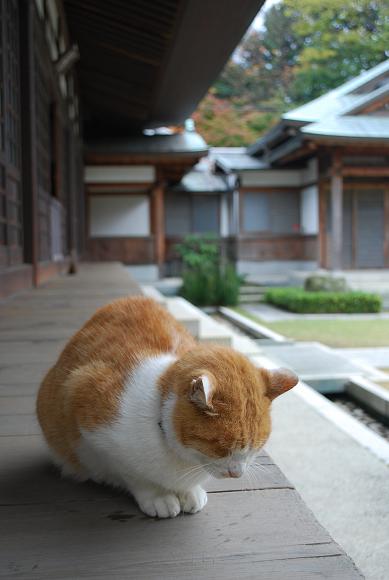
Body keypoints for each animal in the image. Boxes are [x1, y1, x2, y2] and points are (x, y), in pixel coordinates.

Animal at [37, 296, 298, 520]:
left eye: (257, 447)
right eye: (220, 447)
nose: (237, 473)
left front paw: (190, 493)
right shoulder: (89, 416)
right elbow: (134, 475)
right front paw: (157, 496)